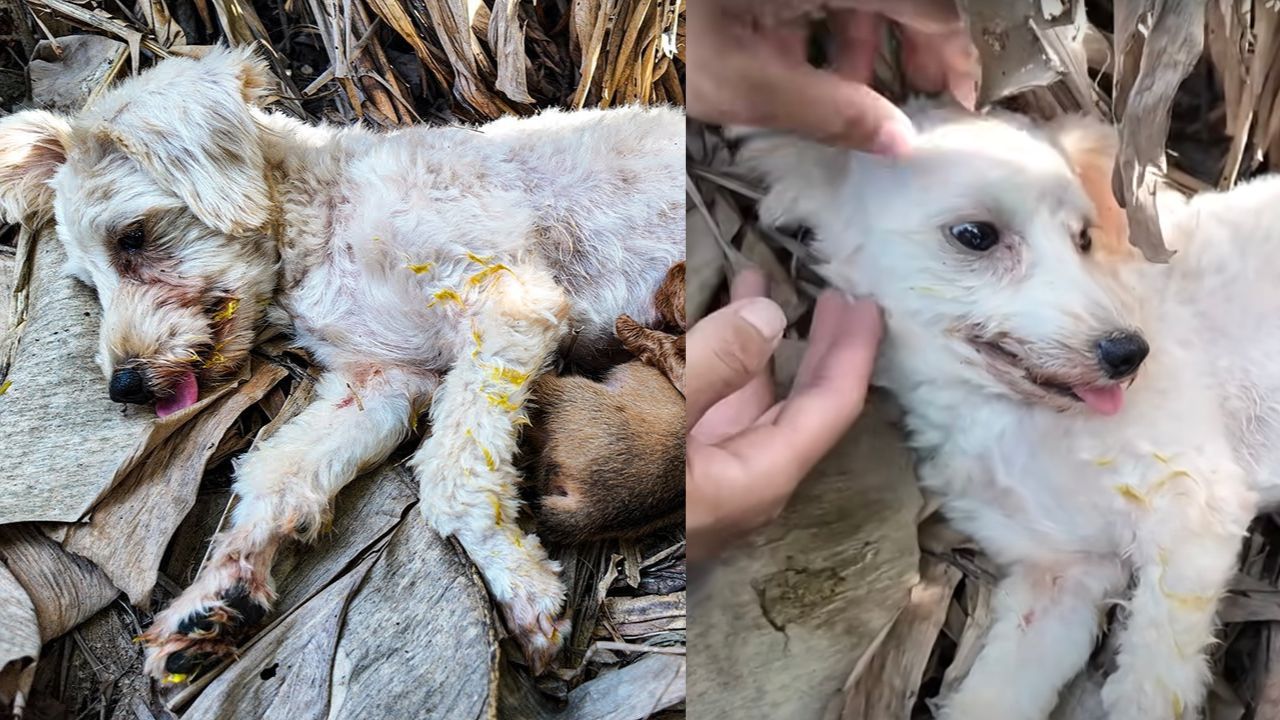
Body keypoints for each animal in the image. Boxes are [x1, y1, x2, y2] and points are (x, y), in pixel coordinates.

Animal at [0, 46, 691, 676]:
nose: (125, 387)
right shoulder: (379, 382)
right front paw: (218, 591)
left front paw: (520, 583)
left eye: (134, 237)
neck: (324, 220)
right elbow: (278, 473)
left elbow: (452, 474)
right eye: (87, 284)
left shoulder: (509, 302)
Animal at [737, 102, 1280, 717]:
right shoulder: (1062, 572)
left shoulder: (1194, 499)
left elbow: (1151, 677)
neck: (1008, 418)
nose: (1128, 353)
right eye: (975, 235)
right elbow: (999, 692)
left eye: (1083, 238)